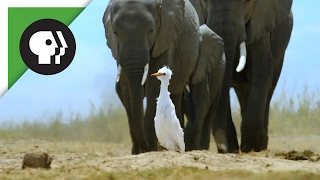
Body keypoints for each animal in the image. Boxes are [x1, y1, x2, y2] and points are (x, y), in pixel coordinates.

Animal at [104, 0, 219, 155]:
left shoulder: (166, 38)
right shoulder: (118, 51)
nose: (144, 148)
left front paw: (149, 149)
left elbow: (153, 87)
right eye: (115, 33)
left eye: (151, 30)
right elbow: (126, 87)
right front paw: (138, 152)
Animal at [191, 0, 294, 153]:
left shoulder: (261, 25)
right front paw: (232, 149)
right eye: (204, 1)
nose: (222, 147)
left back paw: (262, 144)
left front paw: (253, 147)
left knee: (268, 89)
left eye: (247, 1)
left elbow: (261, 72)